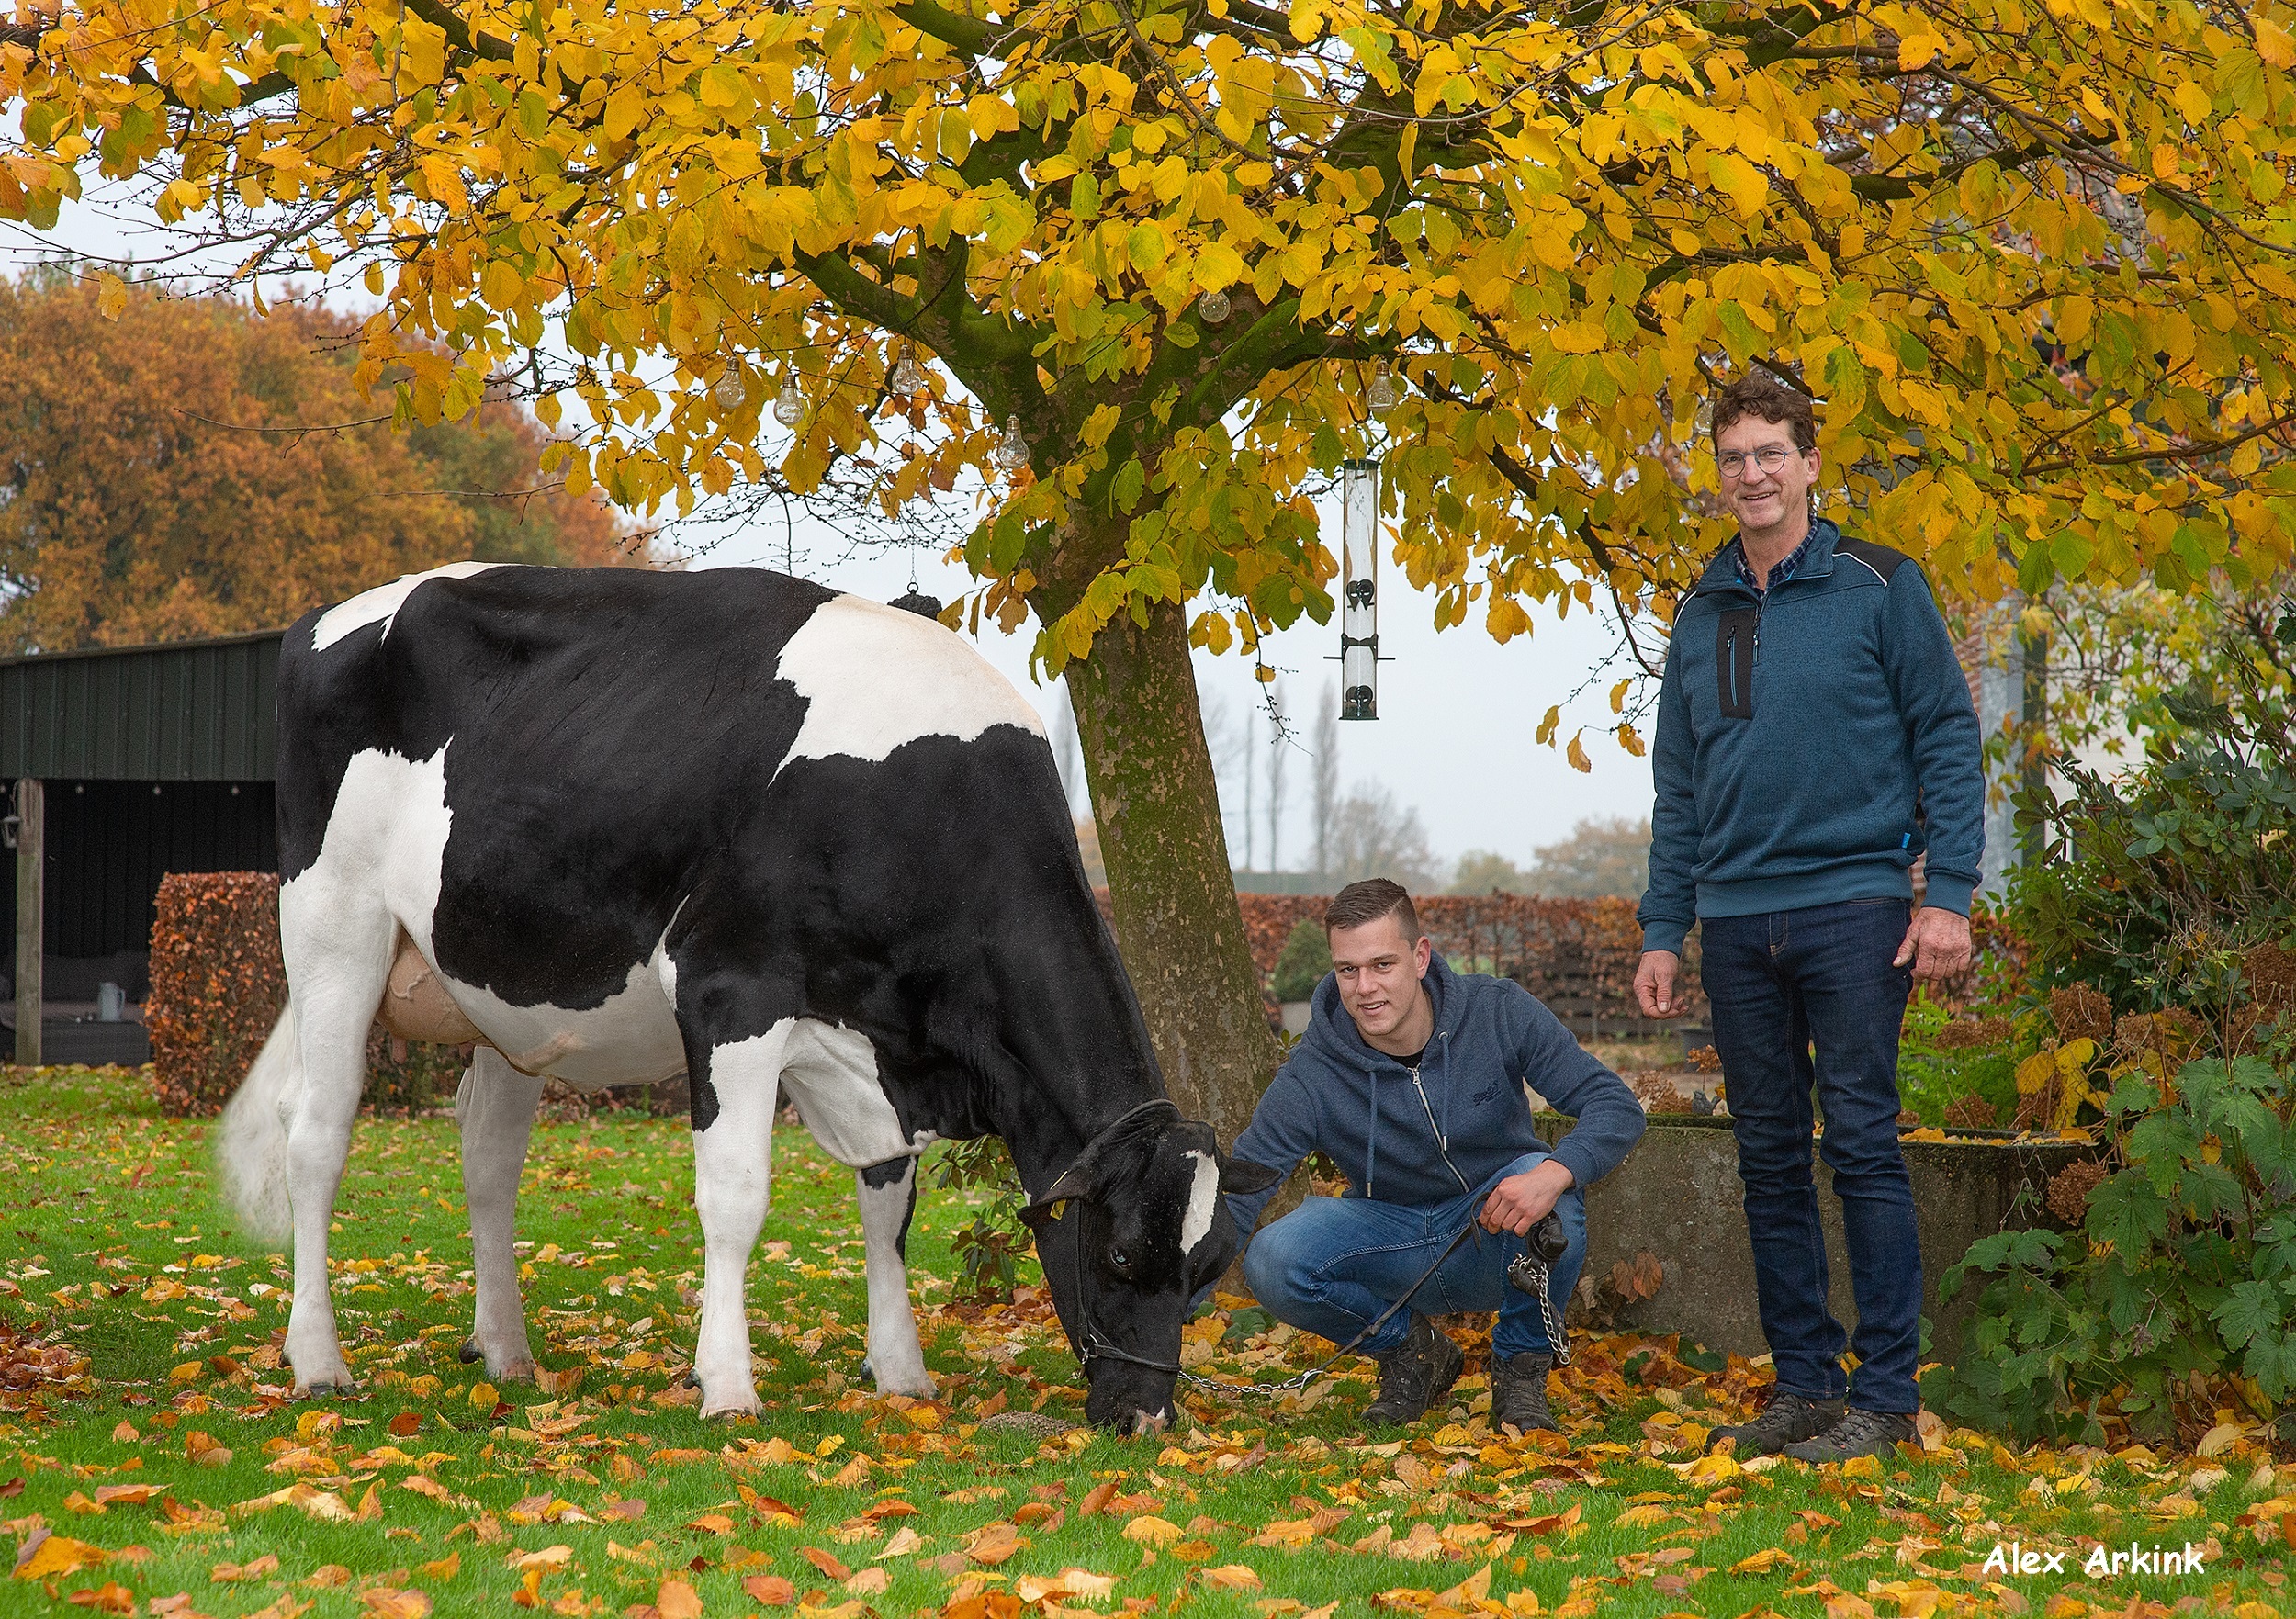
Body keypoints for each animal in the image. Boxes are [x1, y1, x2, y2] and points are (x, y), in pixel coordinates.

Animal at [217, 565, 1286, 1423]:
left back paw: (508, 1352)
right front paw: (727, 1384)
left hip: (502, 993)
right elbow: (734, 1196)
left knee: (487, 1158)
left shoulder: (875, 1041)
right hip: (334, 926)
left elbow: (887, 1204)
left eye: (1204, 1271)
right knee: (317, 1137)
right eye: (1120, 1256)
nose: (1146, 1415)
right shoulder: (731, 990)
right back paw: (318, 1359)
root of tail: (331, 612)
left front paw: (901, 1371)